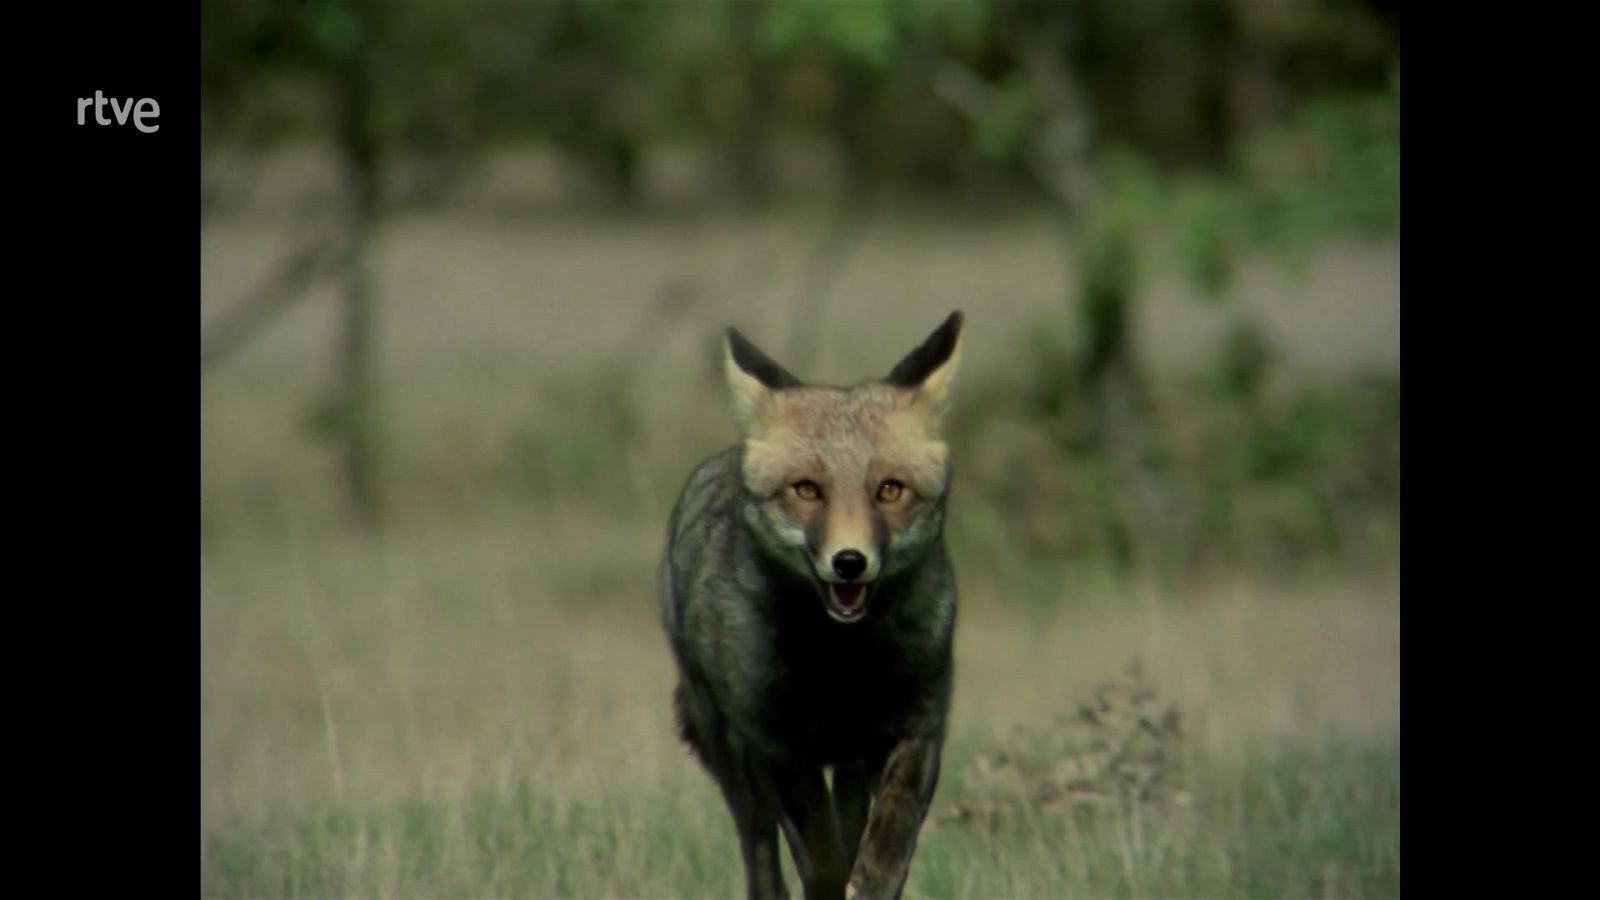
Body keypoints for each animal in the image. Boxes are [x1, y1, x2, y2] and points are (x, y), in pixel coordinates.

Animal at [659, 310, 966, 896]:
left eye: (889, 490)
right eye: (807, 490)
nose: (849, 562)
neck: (839, 667)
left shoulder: (917, 730)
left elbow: (886, 851)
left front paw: (872, 880)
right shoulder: (778, 746)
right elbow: (820, 862)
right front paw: (829, 884)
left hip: (849, 765)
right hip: (734, 761)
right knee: (762, 857)